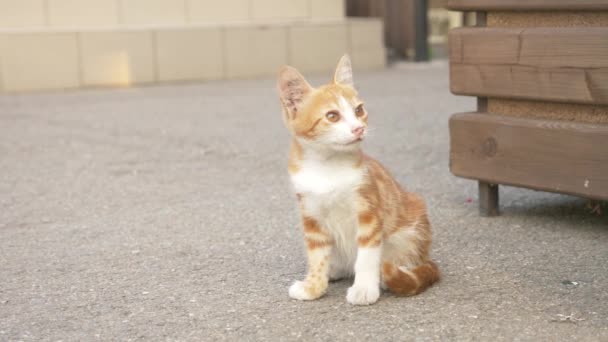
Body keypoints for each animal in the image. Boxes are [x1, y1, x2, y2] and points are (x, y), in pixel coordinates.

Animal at [278, 54, 440, 306]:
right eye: (332, 116)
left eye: (359, 110)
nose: (358, 128)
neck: (327, 167)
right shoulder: (311, 215)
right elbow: (317, 255)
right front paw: (314, 286)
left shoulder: (369, 210)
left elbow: (367, 255)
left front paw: (364, 288)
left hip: (413, 228)